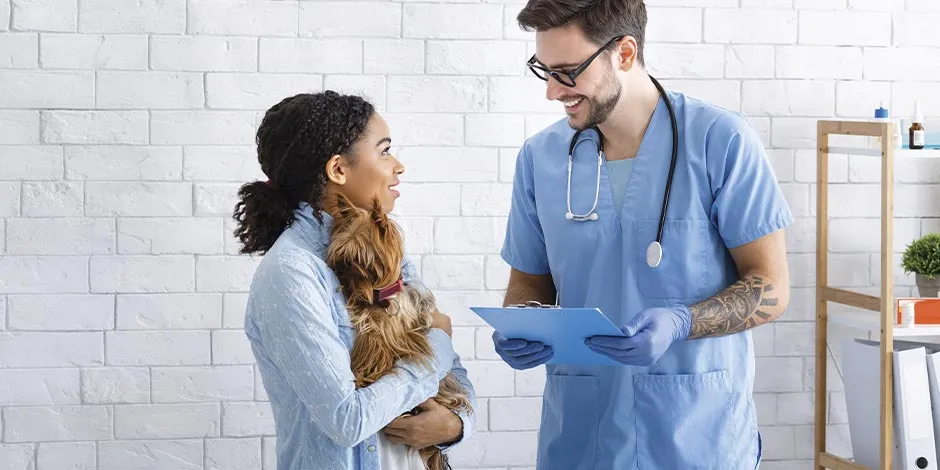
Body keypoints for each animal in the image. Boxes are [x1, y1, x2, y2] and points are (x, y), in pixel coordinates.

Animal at [324, 193, 474, 468]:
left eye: (360, 259)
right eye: (340, 255)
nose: (342, 270)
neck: (379, 297)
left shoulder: (399, 333)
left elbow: (379, 343)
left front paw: (365, 370)